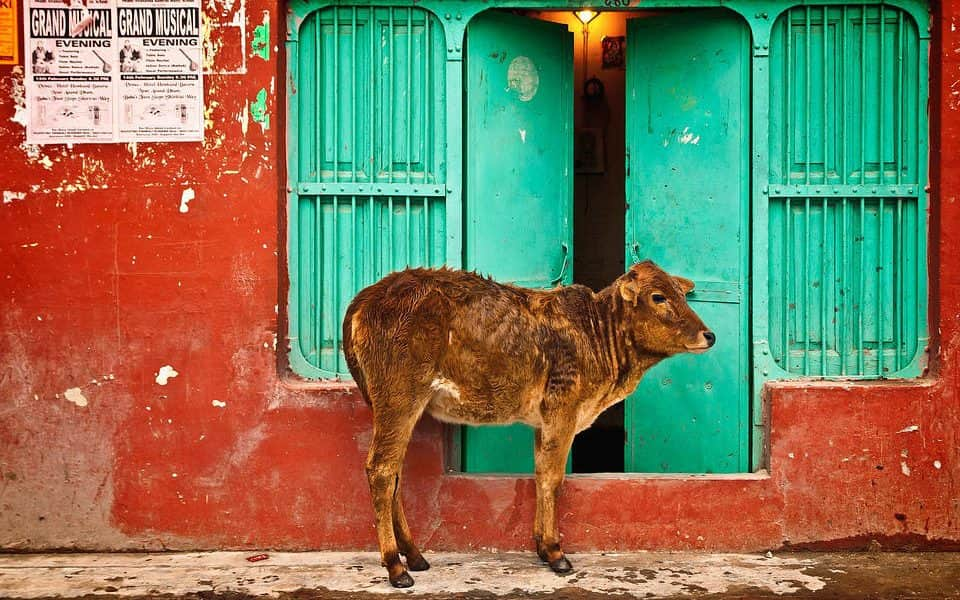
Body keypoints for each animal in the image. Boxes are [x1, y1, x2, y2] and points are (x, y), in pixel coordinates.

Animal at [344, 262, 712, 584]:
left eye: (681, 293)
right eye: (658, 296)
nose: (709, 335)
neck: (598, 336)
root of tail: (368, 296)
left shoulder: (544, 420)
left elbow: (539, 474)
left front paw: (541, 546)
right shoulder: (563, 410)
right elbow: (553, 478)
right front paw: (555, 552)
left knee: (395, 473)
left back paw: (415, 555)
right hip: (399, 397)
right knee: (381, 471)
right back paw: (396, 567)